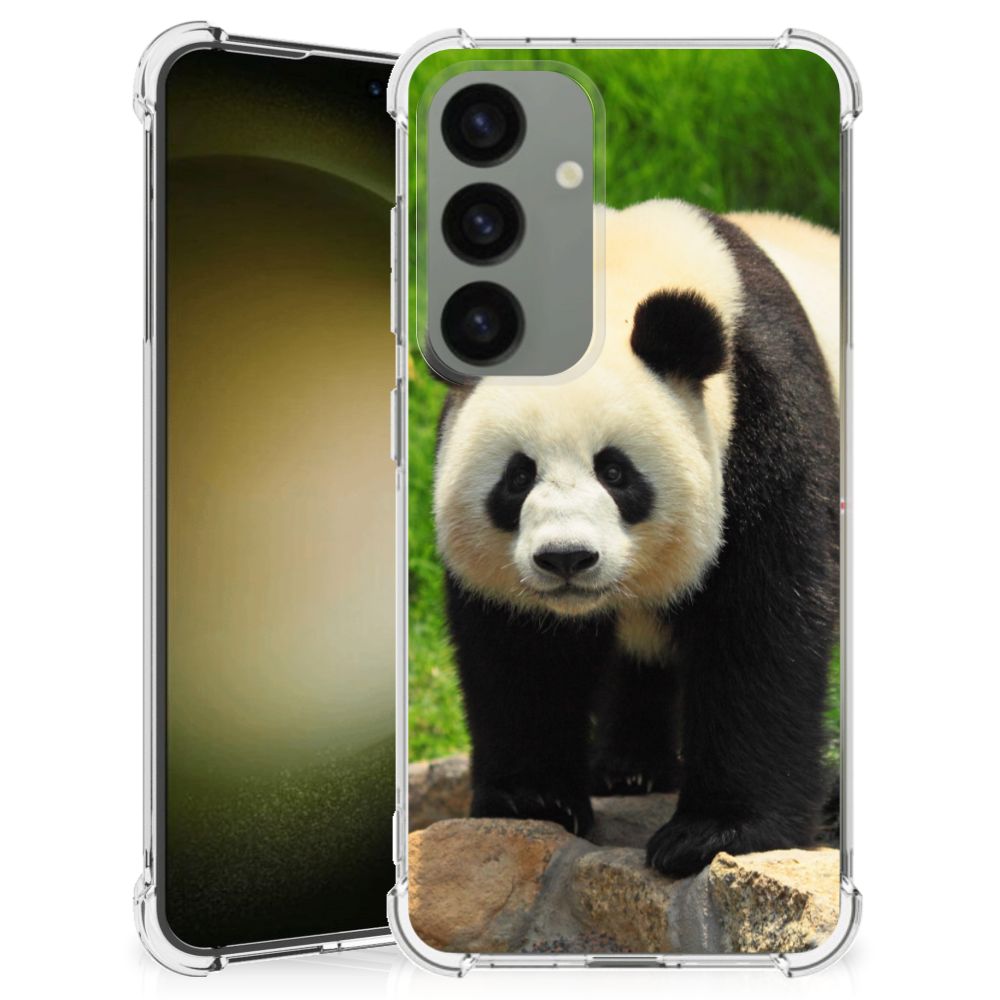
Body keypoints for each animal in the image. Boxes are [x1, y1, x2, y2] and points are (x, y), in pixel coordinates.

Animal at [432, 199, 840, 877]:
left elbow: (762, 624)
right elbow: (521, 649)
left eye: (616, 471)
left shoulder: (766, 420)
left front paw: (715, 832)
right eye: (518, 477)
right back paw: (628, 769)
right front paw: (532, 800)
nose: (566, 558)